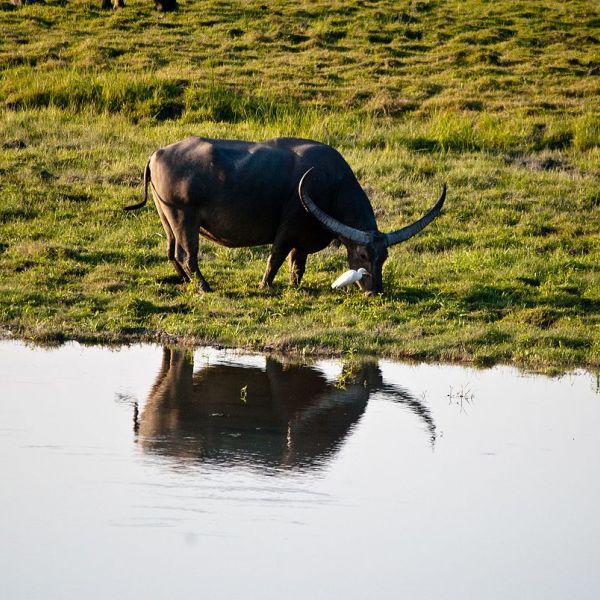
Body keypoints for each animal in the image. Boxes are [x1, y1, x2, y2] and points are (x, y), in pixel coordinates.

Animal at [125, 137, 446, 296]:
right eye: (363, 256)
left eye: (384, 257)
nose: (375, 291)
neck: (331, 184)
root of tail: (157, 153)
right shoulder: (289, 228)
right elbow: (276, 257)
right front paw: (265, 285)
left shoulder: (302, 239)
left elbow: (297, 265)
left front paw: (295, 286)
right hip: (184, 218)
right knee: (186, 255)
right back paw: (204, 287)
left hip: (167, 217)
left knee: (171, 252)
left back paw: (185, 281)